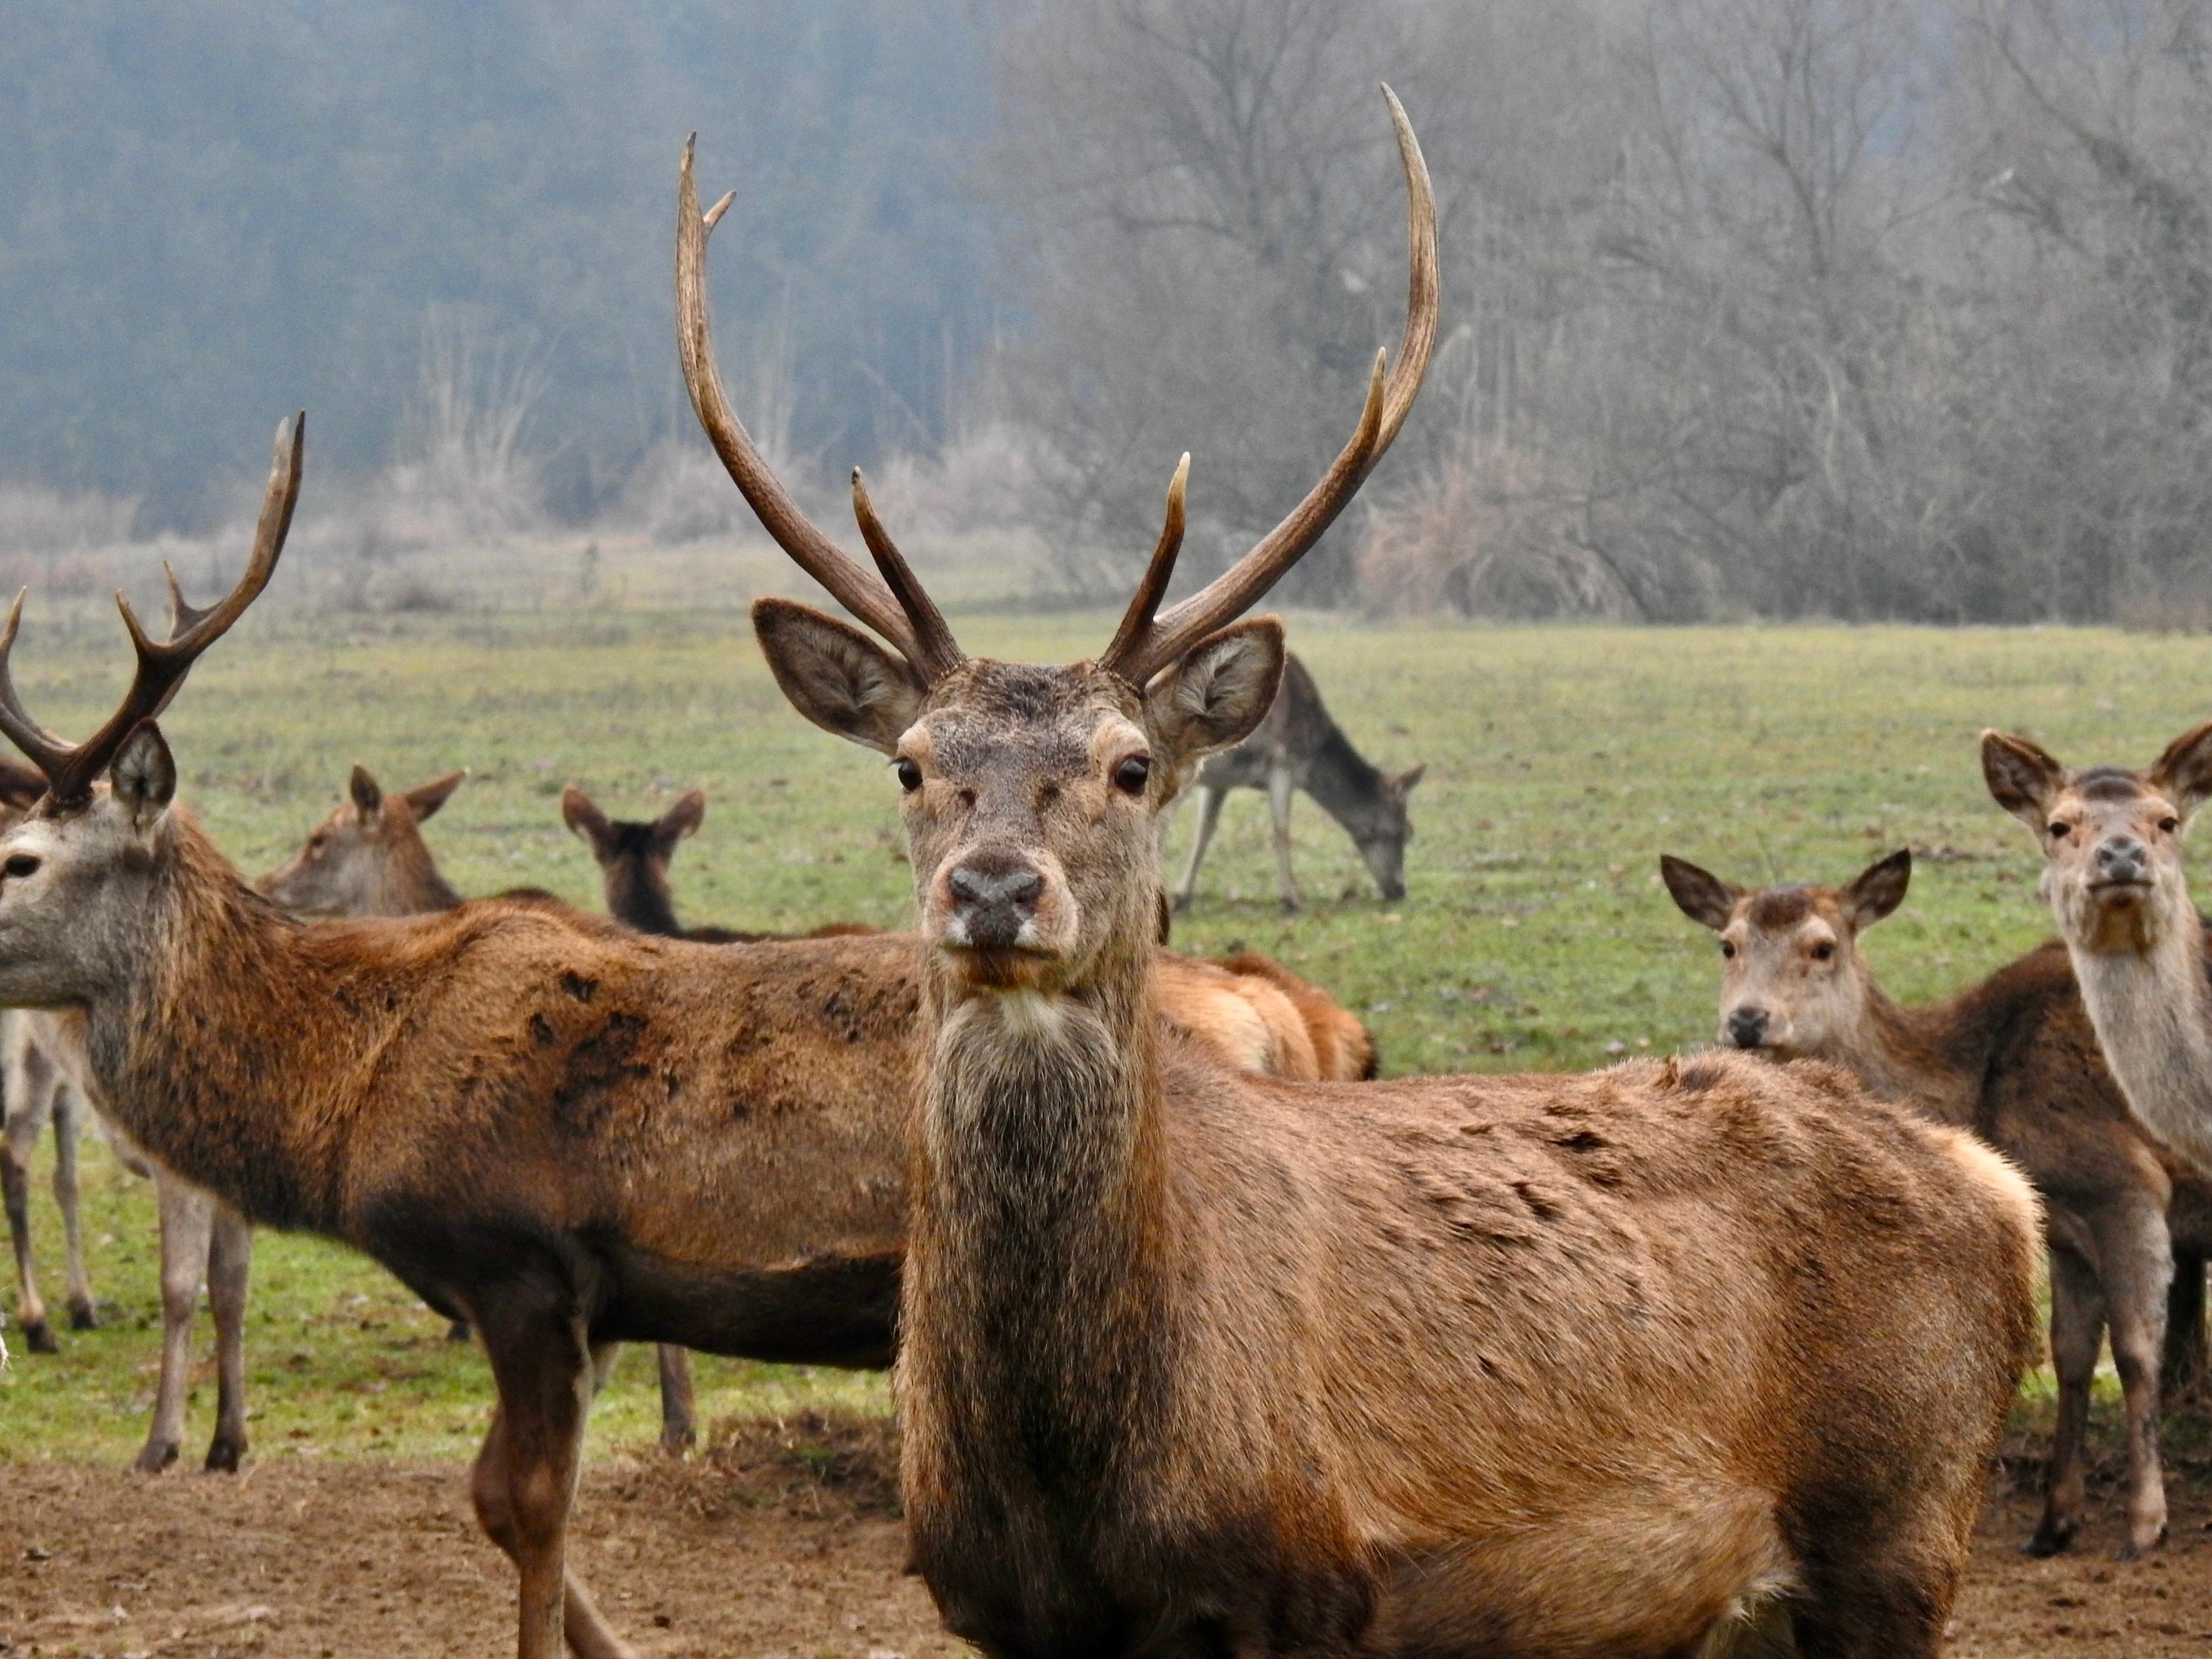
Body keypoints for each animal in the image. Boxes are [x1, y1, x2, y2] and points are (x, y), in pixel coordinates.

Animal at [1168, 650, 1425, 911]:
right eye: (1403, 832)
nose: (1400, 889)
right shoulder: (1283, 766)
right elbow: (1282, 831)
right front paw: (1292, 898)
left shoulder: (1220, 782)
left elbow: (1204, 832)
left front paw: (1182, 895)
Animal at [1663, 849, 2212, 1566]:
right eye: (1727, 944)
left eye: (1822, 946)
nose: (1748, 1021)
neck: (1980, 1089)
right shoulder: (2066, 1225)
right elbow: (2068, 1355)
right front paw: (2053, 1524)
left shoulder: (2127, 1185)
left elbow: (2134, 1352)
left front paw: (2145, 1526)